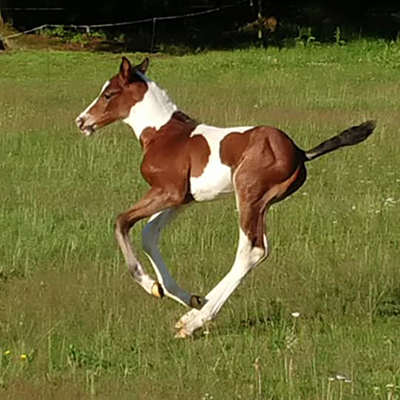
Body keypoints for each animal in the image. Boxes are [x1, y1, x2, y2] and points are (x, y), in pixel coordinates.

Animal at [76, 57, 375, 338]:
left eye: (108, 94)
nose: (81, 121)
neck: (162, 134)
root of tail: (300, 152)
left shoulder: (167, 191)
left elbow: (122, 222)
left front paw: (150, 285)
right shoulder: (182, 199)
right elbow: (149, 234)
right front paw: (184, 296)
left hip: (248, 195)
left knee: (252, 250)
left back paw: (195, 322)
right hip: (259, 204)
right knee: (259, 248)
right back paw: (196, 311)